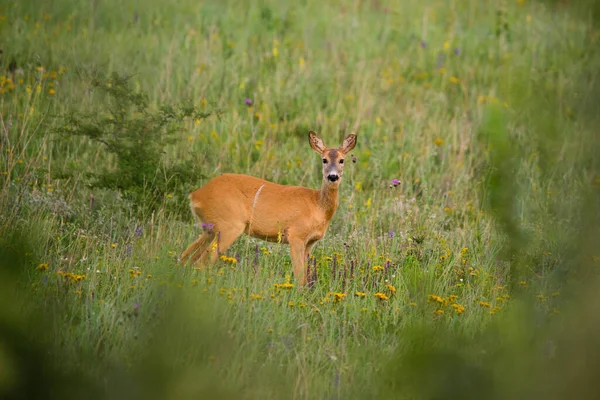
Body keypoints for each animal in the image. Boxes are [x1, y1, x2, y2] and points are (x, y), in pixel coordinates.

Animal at [179, 133, 356, 286]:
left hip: (210, 229)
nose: (332, 176)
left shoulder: (310, 243)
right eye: (324, 160)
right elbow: (299, 279)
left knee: (186, 256)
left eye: (342, 160)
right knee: (203, 262)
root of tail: (195, 196)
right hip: (229, 224)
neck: (318, 205)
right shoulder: (295, 235)